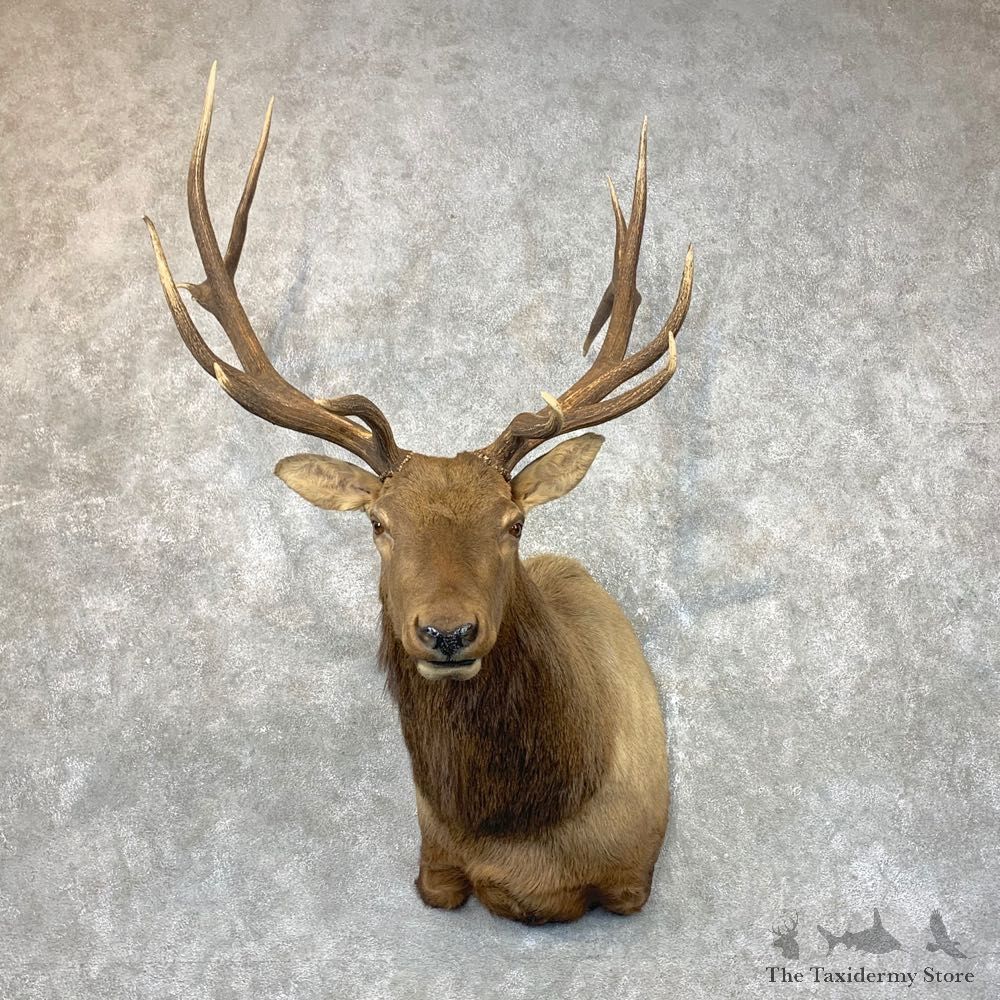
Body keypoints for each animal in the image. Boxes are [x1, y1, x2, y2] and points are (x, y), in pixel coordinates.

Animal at [144, 64, 694, 925]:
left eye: (513, 521)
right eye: (377, 522)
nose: (446, 631)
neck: (527, 834)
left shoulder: (633, 875)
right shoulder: (433, 864)